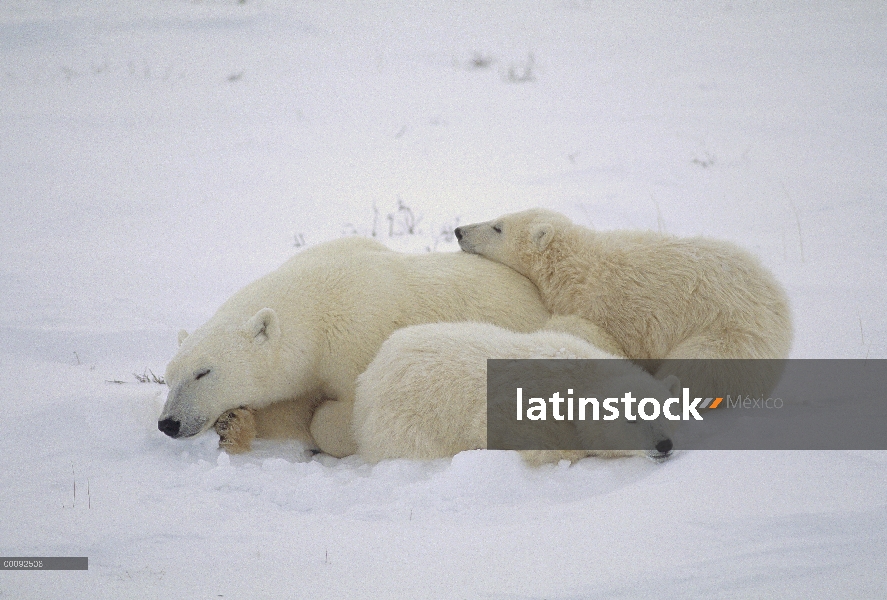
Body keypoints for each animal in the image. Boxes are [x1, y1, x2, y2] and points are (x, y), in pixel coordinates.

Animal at [155, 237, 552, 458]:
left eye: (203, 372)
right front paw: (235, 422)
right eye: (170, 376)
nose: (169, 423)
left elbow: (341, 414)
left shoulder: (358, 343)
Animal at [454, 209, 796, 396]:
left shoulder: (612, 308)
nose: (459, 231)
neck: (576, 267)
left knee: (699, 368)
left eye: (498, 227)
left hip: (728, 334)